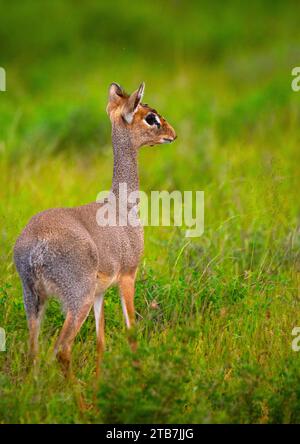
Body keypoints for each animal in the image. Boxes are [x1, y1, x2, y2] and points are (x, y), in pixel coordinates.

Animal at [14, 82, 177, 374]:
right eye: (150, 117)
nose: (172, 134)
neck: (121, 205)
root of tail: (35, 247)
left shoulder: (101, 291)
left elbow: (101, 341)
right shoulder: (128, 275)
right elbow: (131, 331)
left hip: (33, 300)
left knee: (33, 352)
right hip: (78, 300)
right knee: (62, 350)